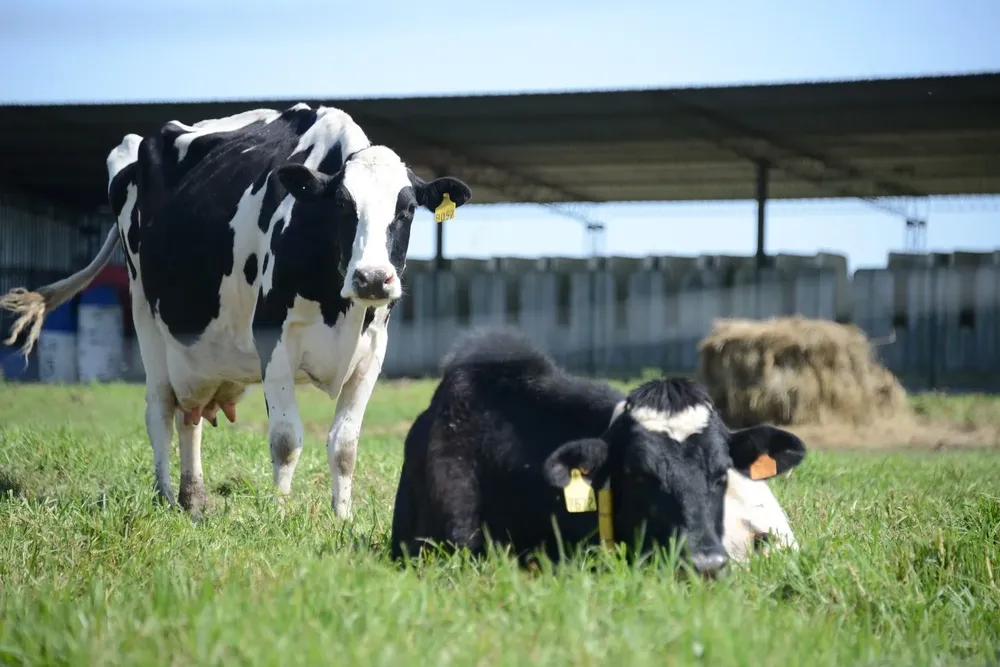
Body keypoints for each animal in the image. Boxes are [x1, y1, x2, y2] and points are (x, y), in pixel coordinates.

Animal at [0, 103, 472, 518]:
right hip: (144, 312)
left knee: (189, 415)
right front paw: (280, 514)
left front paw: (343, 518)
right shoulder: (273, 338)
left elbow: (344, 446)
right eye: (342, 204)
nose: (372, 278)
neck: (339, 308)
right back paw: (166, 498)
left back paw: (194, 499)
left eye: (407, 209)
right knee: (160, 408)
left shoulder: (373, 349)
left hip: (196, 350)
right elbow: (285, 439)